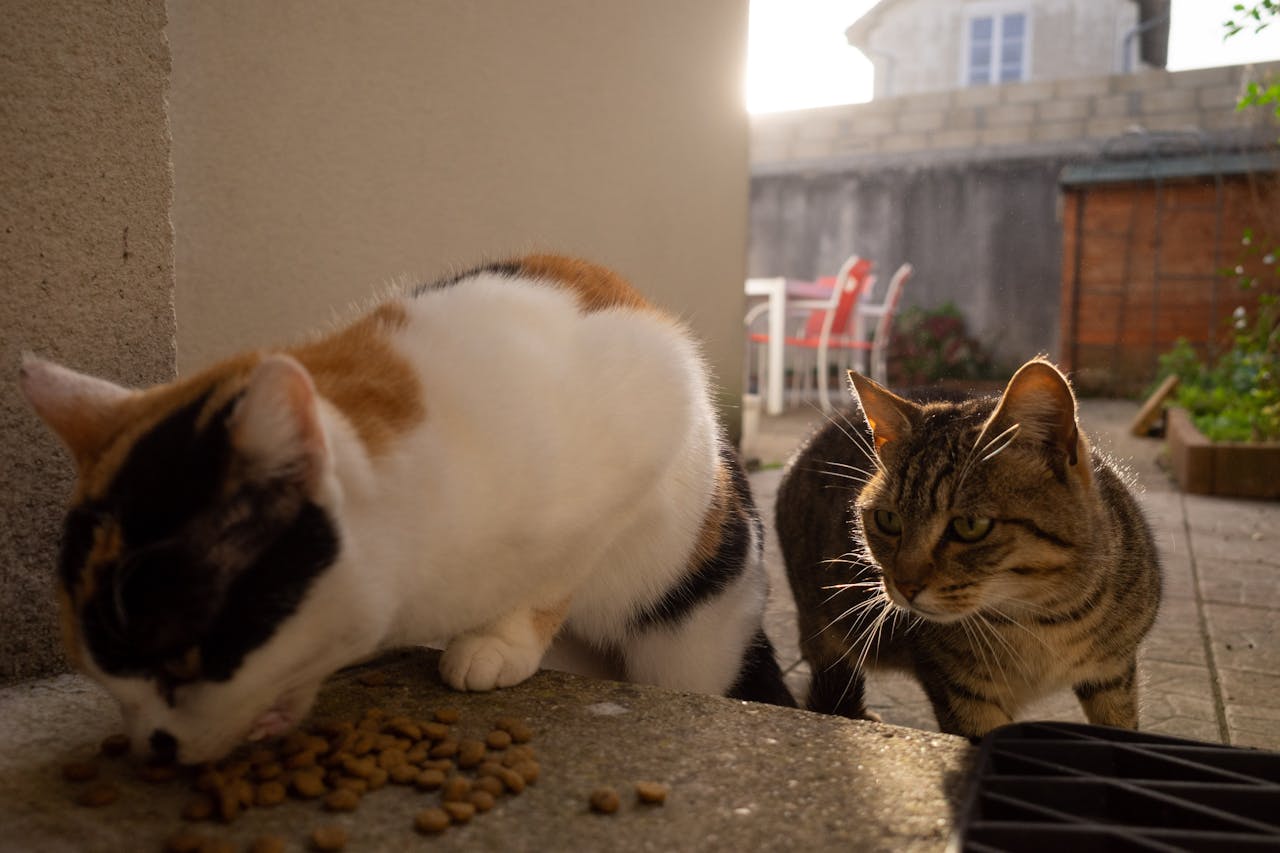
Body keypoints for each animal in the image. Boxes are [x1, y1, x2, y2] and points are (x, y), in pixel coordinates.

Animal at [22, 251, 788, 758]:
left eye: (181, 665)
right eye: (101, 676)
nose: (151, 744)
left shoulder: (657, 404)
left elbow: (555, 574)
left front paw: (496, 642)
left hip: (691, 640)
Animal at [773, 358, 1167, 737]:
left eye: (970, 526)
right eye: (888, 520)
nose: (905, 585)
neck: (1042, 618)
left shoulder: (1114, 673)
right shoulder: (961, 692)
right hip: (821, 624)